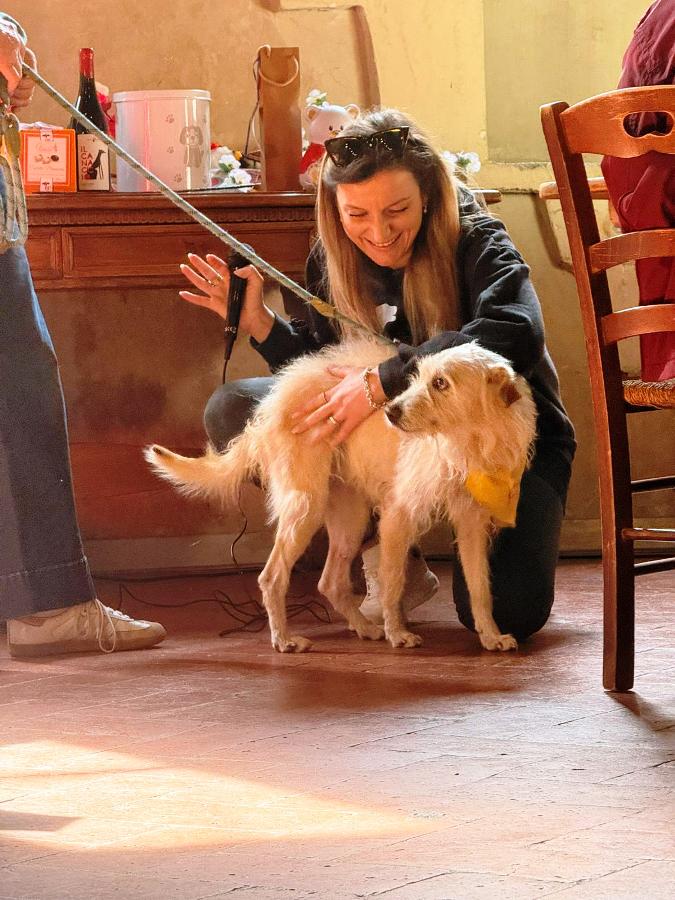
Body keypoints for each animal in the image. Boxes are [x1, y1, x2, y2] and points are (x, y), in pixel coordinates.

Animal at [145, 338, 537, 654]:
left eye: (441, 383)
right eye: (416, 377)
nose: (391, 411)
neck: (468, 440)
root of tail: (273, 403)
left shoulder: (471, 524)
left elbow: (480, 588)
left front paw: (491, 635)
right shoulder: (398, 516)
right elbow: (393, 581)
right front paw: (398, 632)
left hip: (349, 518)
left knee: (330, 582)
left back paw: (363, 627)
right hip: (306, 508)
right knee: (272, 577)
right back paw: (285, 639)